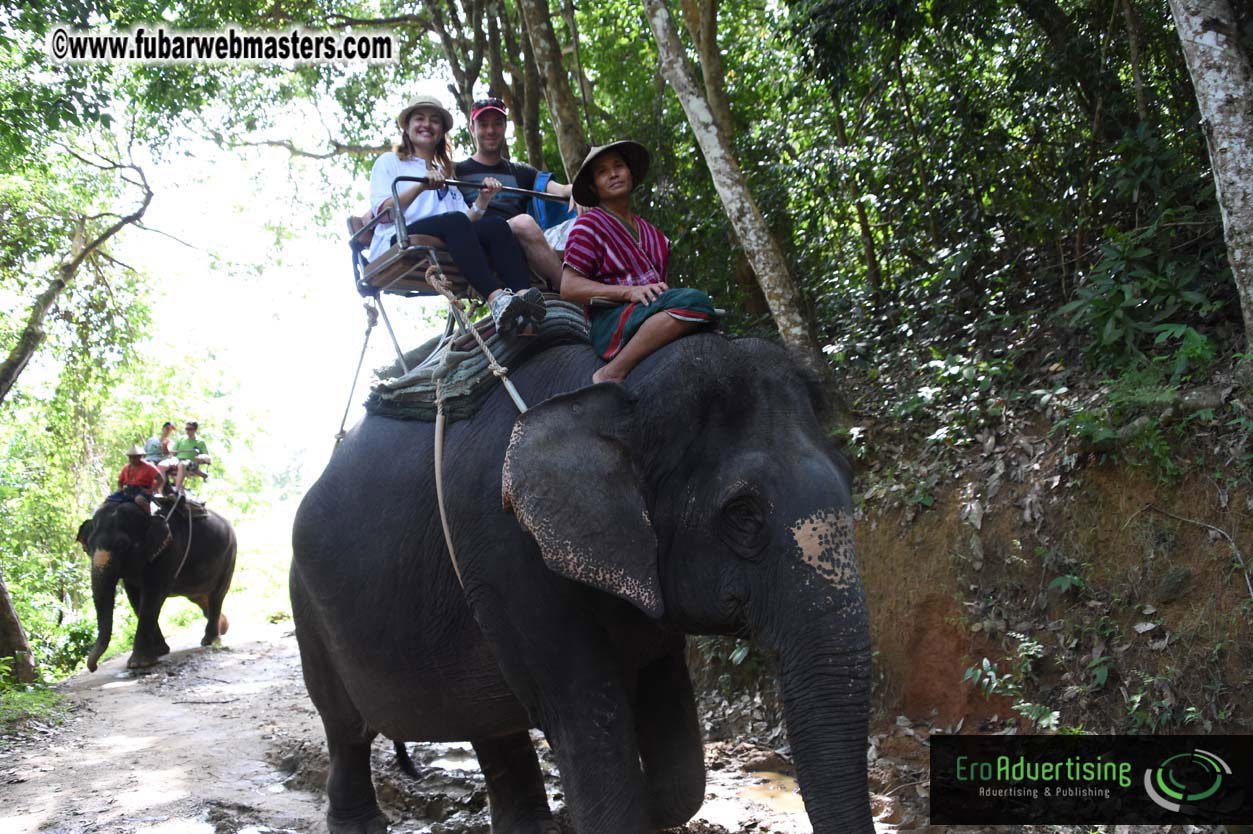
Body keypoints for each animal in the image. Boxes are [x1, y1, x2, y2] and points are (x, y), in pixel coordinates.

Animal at [77, 499, 237, 671]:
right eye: (89, 547)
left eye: (123, 546)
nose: (93, 668)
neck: (146, 515)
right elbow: (135, 599)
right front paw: (160, 651)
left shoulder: (170, 551)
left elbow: (152, 597)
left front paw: (140, 663)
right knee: (200, 598)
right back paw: (223, 627)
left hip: (229, 558)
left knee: (216, 595)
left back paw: (211, 641)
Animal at [290, 332, 873, 834]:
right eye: (743, 513)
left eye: (850, 478)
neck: (616, 389)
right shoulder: (509, 551)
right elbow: (586, 725)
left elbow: (674, 748)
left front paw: (649, 806)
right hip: (307, 607)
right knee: (345, 727)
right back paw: (360, 824)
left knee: (490, 725)